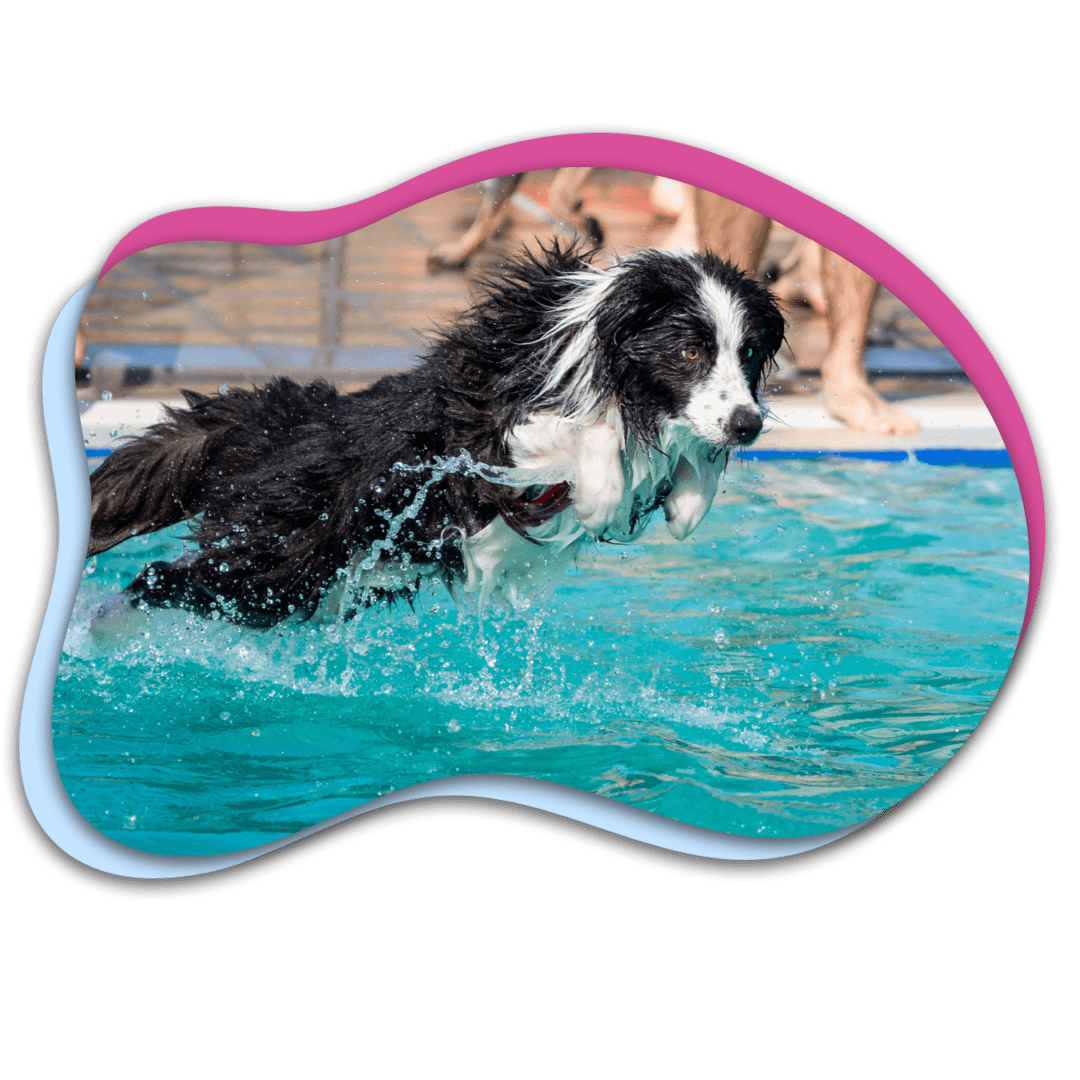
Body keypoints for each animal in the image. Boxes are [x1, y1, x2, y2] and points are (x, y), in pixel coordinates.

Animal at [90, 244, 786, 626]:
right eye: (692, 351)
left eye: (749, 351)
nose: (749, 426)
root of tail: (276, 424)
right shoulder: (484, 428)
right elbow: (584, 433)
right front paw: (600, 498)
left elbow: (689, 462)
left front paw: (687, 504)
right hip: (283, 554)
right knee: (162, 580)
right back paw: (98, 633)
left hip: (323, 576)